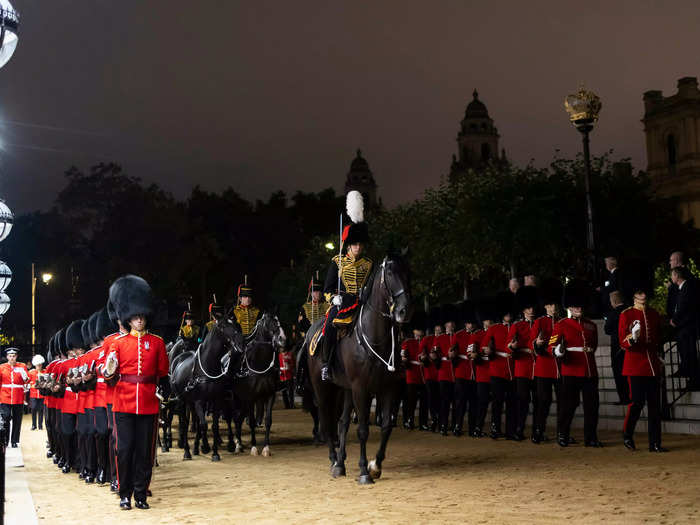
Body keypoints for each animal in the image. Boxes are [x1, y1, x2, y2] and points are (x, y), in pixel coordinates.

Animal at [230, 314, 284, 456]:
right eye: (269, 323)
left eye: (278, 321)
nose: (282, 339)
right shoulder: (251, 397)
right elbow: (252, 421)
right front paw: (254, 447)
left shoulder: (270, 395)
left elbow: (268, 420)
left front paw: (266, 448)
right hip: (237, 399)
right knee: (235, 418)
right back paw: (237, 444)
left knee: (239, 418)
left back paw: (240, 444)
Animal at [304, 254, 410, 484]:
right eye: (390, 273)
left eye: (409, 271)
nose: (404, 311)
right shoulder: (362, 388)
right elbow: (362, 429)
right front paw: (363, 471)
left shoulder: (388, 388)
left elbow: (386, 426)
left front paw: (375, 465)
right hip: (323, 388)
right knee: (327, 421)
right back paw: (333, 459)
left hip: (345, 389)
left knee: (342, 422)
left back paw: (340, 464)